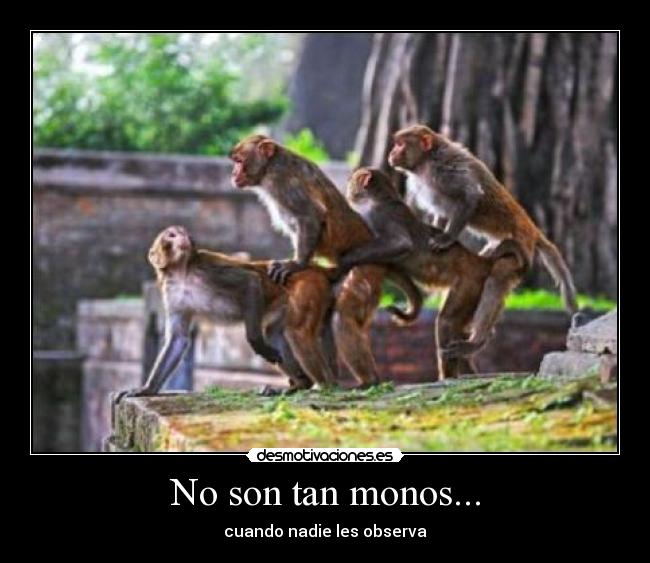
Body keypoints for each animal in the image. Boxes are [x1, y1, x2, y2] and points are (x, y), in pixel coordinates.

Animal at [117, 225, 339, 400]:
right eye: (171, 235)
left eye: (181, 232)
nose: (184, 236)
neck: (182, 272)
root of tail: (312, 268)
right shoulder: (172, 294)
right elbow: (178, 339)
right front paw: (147, 389)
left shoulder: (208, 270)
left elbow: (250, 282)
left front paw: (256, 343)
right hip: (284, 302)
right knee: (274, 332)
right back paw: (301, 385)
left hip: (308, 286)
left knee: (297, 332)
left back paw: (325, 386)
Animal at [229, 135, 422, 386]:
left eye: (240, 161)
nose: (233, 173)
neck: (270, 165)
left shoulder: (283, 182)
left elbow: (310, 216)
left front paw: (296, 264)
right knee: (325, 321)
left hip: (367, 270)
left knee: (344, 315)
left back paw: (369, 381)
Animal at [335, 168, 525, 378]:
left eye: (351, 181)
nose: (347, 189)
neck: (381, 198)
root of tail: (479, 259)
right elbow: (392, 266)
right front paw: (413, 307)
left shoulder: (377, 215)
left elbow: (401, 244)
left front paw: (348, 258)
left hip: (470, 282)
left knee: (446, 321)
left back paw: (450, 373)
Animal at [388, 124, 580, 353]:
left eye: (400, 144)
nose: (391, 153)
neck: (426, 162)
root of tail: (532, 230)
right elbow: (440, 215)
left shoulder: (446, 171)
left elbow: (469, 196)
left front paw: (447, 238)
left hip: (521, 251)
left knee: (498, 277)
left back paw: (478, 341)